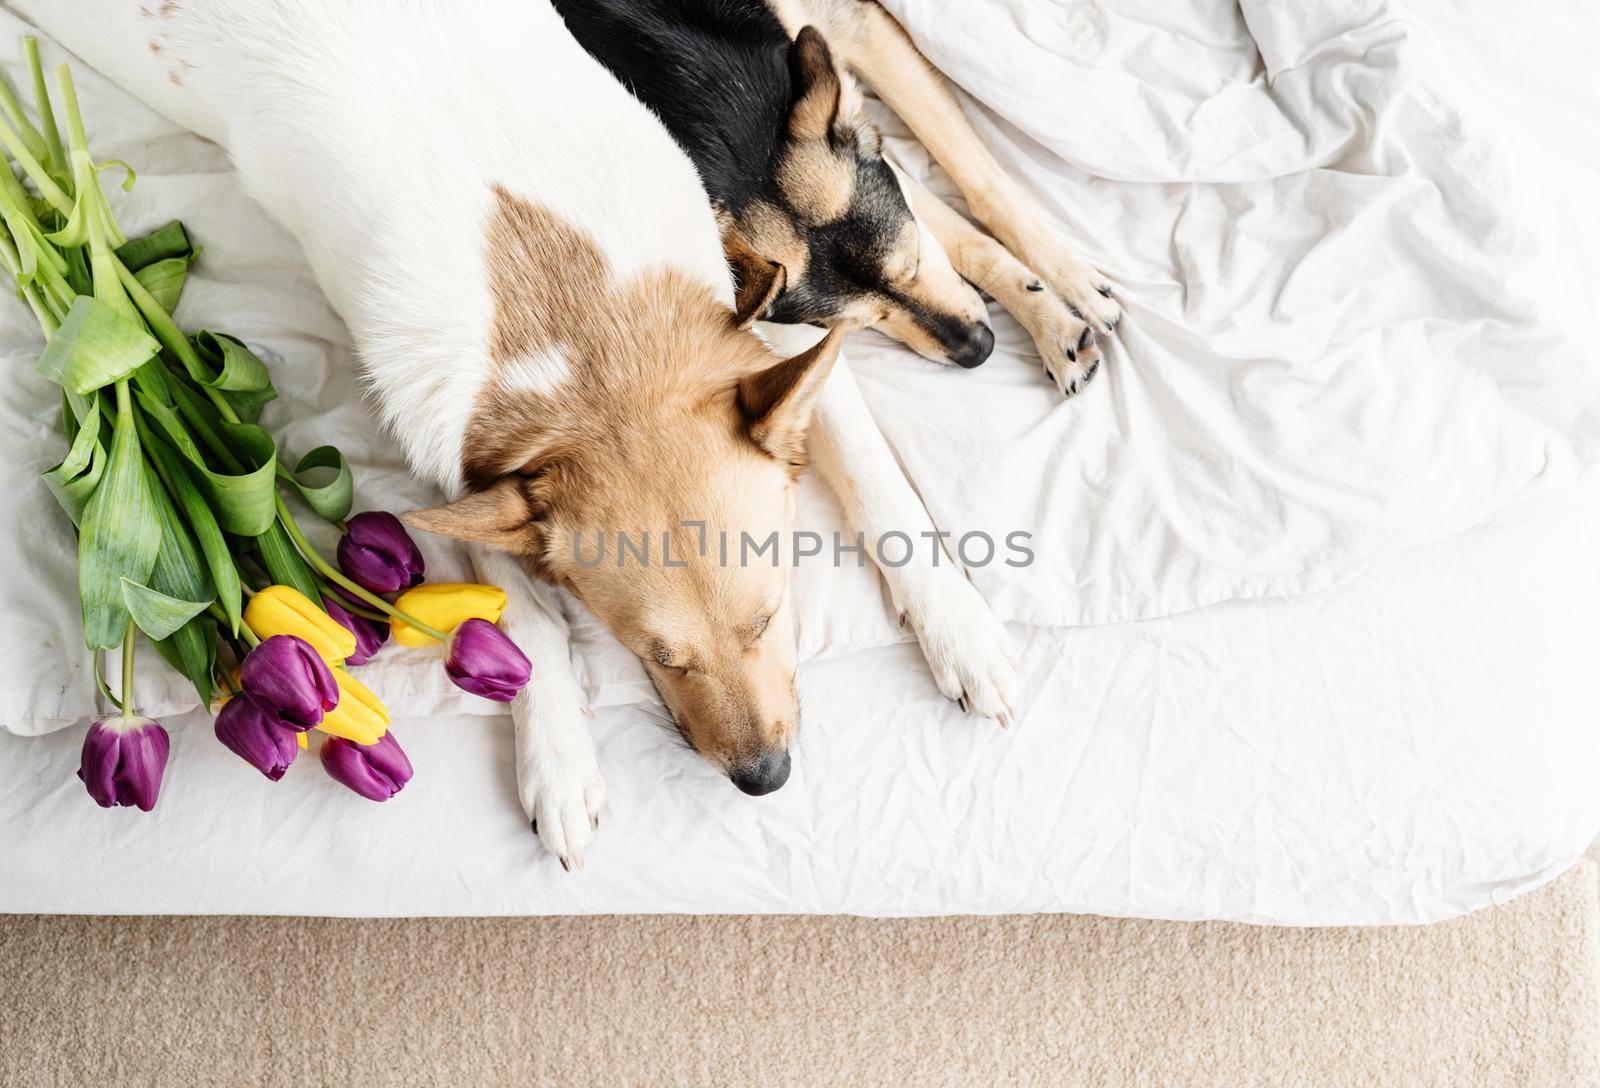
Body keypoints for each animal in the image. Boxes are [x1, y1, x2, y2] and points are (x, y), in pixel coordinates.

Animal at [550, 0, 1126, 395]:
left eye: (912, 262)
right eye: (859, 325)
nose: (980, 351)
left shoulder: (854, 31)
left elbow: (978, 183)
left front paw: (1067, 289)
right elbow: (957, 236)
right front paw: (1050, 319)